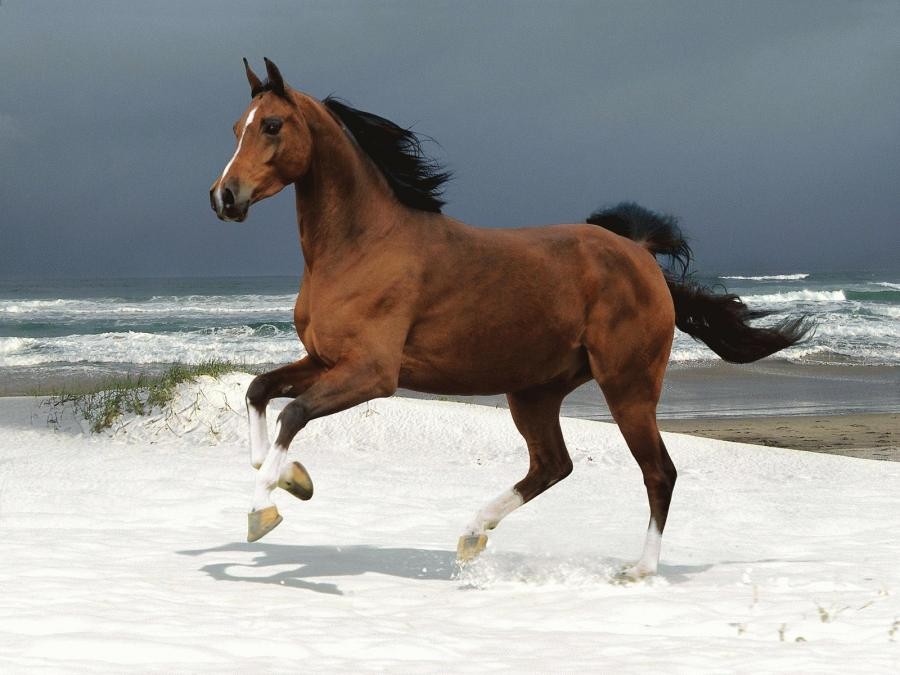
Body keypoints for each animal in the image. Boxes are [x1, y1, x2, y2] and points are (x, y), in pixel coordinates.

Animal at [209, 58, 810, 578]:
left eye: (272, 125)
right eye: (237, 127)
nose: (224, 197)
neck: (362, 245)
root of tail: (638, 254)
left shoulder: (372, 374)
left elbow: (293, 414)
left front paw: (264, 510)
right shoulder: (324, 359)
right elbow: (260, 391)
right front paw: (291, 479)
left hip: (628, 386)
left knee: (658, 472)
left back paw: (639, 570)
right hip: (535, 391)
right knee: (553, 465)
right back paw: (472, 534)